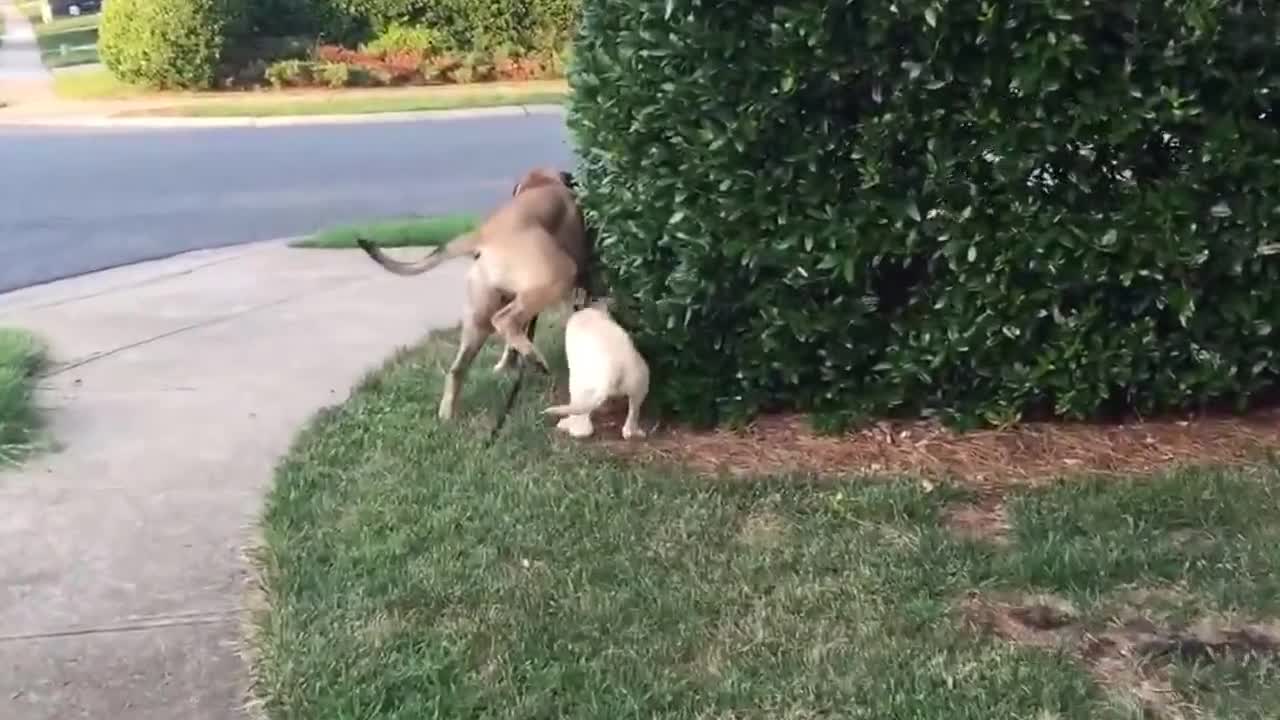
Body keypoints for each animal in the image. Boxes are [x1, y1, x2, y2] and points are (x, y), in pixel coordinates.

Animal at [358, 165, 591, 417]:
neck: (542, 182)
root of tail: (482, 236)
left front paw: (508, 363)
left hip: (477, 318)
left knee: (457, 369)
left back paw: (447, 415)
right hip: (558, 274)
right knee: (504, 320)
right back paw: (534, 358)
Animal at [545, 297, 655, 438]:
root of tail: (615, 370)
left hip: (581, 384)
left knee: (582, 422)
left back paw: (567, 425)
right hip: (641, 383)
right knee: (632, 415)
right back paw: (633, 432)